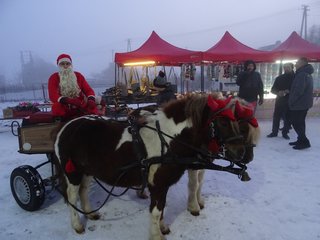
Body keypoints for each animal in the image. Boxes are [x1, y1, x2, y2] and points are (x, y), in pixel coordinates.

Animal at [53, 94, 246, 240]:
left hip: (86, 171)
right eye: (222, 122)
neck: (168, 140)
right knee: (72, 196)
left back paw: (90, 214)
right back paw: (77, 225)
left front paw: (163, 227)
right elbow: (156, 210)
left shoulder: (163, 185)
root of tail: (67, 126)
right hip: (72, 173)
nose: (242, 152)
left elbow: (162, 207)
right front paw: (156, 235)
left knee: (84, 191)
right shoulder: (157, 185)